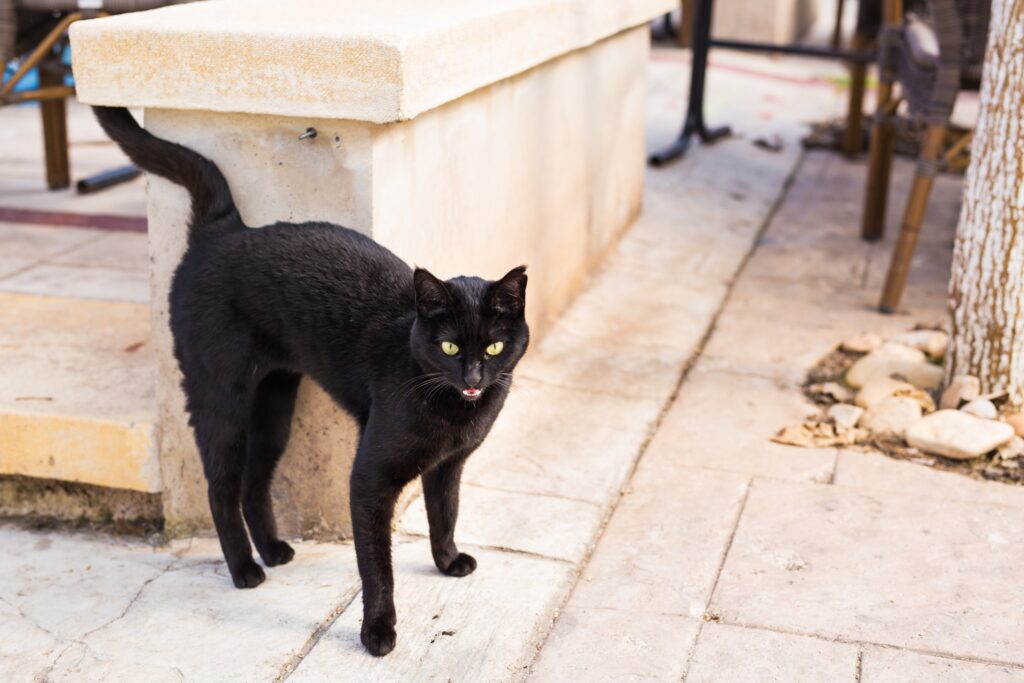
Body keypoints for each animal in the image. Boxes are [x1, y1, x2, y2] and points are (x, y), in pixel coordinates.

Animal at [93, 107, 532, 655]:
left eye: (493, 347)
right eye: (450, 347)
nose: (473, 377)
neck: (455, 410)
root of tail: (225, 229)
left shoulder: (448, 465)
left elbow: (444, 513)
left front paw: (448, 561)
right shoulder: (369, 478)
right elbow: (377, 565)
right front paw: (377, 631)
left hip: (274, 406)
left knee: (254, 482)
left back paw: (273, 550)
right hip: (221, 397)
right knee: (222, 484)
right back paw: (244, 569)